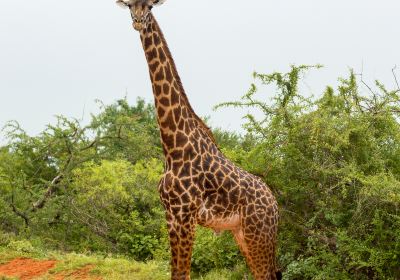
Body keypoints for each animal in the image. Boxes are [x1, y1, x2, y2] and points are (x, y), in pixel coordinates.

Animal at [114, 1, 280, 278]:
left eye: (149, 6)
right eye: (129, 5)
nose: (138, 21)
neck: (172, 146)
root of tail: (276, 206)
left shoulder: (186, 215)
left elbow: (183, 273)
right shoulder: (171, 215)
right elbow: (176, 273)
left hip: (259, 233)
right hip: (242, 234)